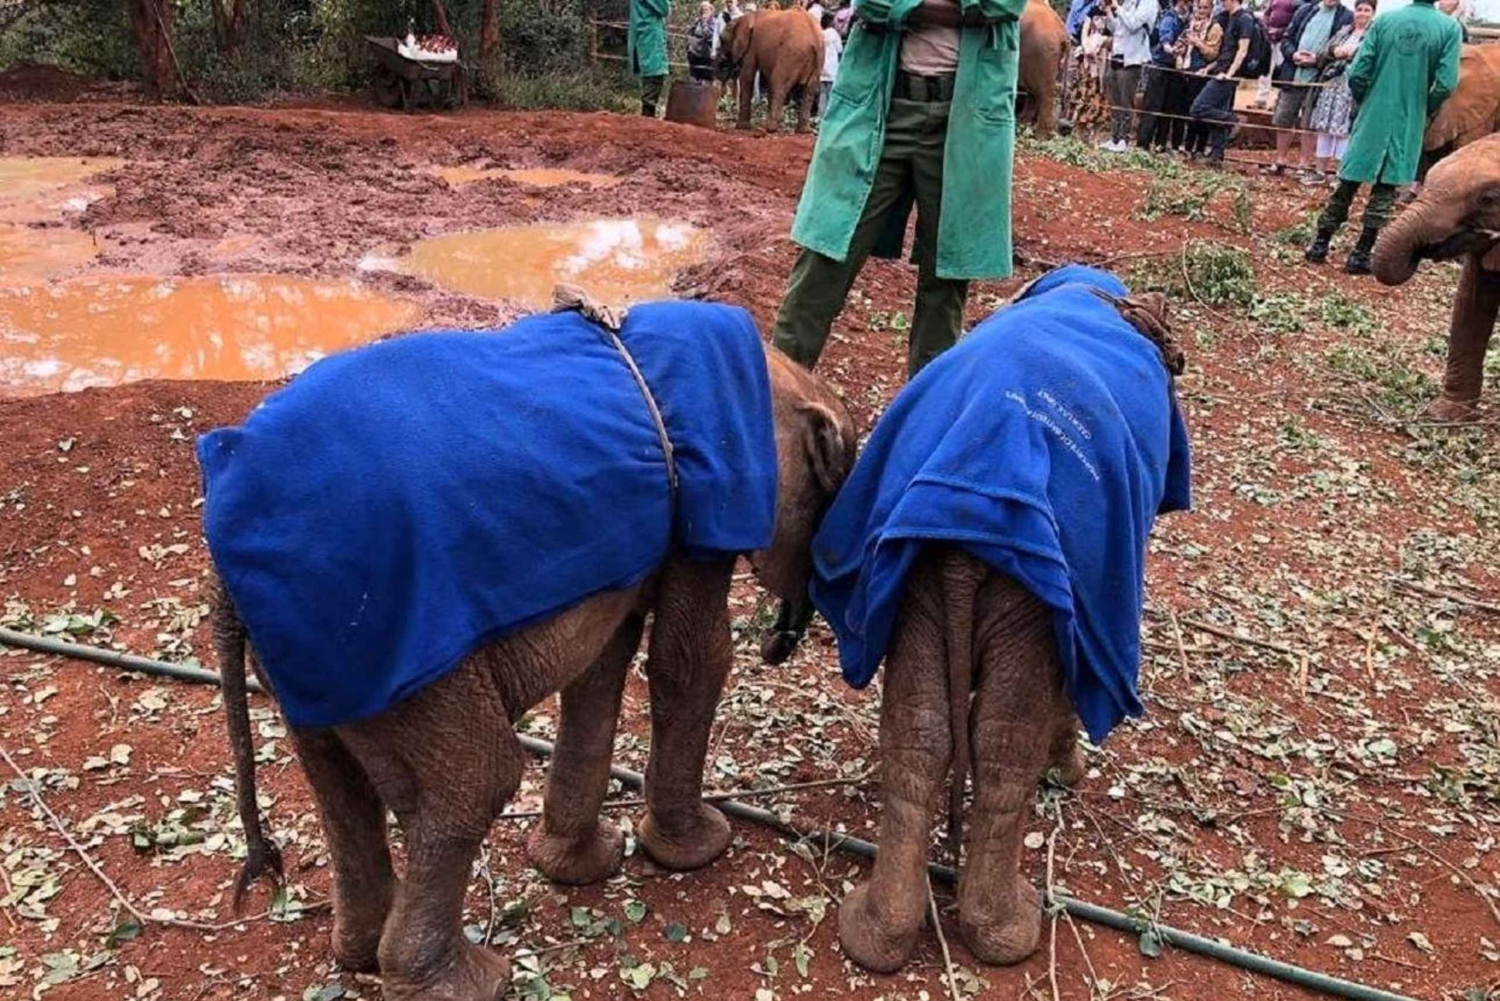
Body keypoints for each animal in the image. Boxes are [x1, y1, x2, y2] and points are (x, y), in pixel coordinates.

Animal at [207, 303, 857, 1001]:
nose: (780, 641)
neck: (785, 376)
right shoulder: (711, 502)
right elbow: (690, 660)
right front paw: (703, 848)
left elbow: (601, 665)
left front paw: (581, 866)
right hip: (390, 643)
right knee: (477, 780)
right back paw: (472, 982)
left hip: (313, 660)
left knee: (338, 783)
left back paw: (360, 954)